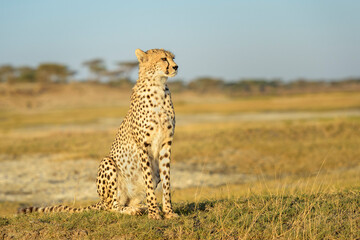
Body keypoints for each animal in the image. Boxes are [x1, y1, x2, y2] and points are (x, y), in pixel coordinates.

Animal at [18, 48, 179, 219]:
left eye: (173, 58)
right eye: (163, 58)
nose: (176, 67)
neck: (158, 86)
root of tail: (101, 201)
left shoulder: (166, 144)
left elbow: (167, 182)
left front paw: (168, 212)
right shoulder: (143, 145)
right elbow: (148, 181)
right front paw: (154, 213)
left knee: (128, 201)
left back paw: (140, 207)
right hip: (107, 163)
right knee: (112, 206)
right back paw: (132, 210)